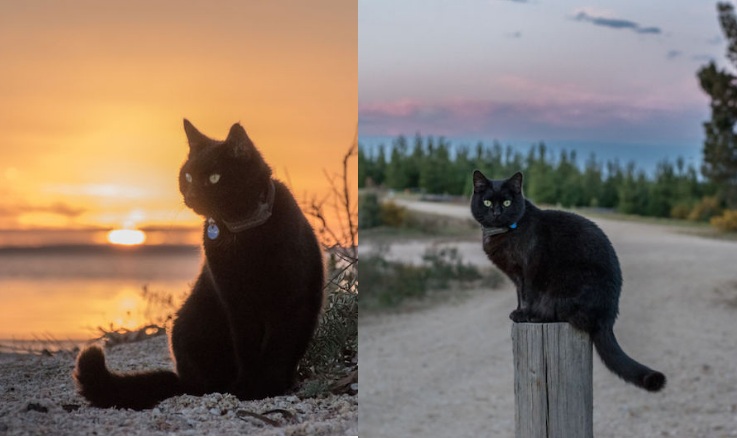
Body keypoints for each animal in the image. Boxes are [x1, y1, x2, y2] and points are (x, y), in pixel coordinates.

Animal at [73, 118, 324, 408]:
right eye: (188, 176)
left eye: (214, 177)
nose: (191, 194)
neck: (241, 229)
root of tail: (181, 380)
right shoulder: (236, 303)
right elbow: (247, 348)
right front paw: (247, 387)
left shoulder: (290, 299)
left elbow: (278, 347)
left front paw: (266, 386)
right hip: (191, 322)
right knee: (203, 382)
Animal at [472, 169, 668, 392]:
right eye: (487, 202)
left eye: (506, 203)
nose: (496, 212)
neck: (506, 232)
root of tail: (608, 318)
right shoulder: (516, 276)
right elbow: (520, 296)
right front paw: (518, 312)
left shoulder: (527, 271)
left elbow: (527, 295)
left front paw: (522, 314)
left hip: (569, 285)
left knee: (568, 316)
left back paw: (536, 317)